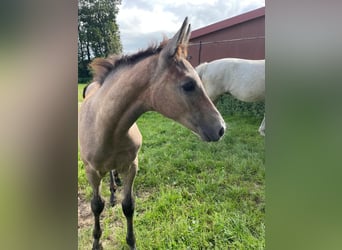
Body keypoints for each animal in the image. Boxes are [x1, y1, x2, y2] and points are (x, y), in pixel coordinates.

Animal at [79, 18, 226, 250]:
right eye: (188, 85)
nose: (221, 128)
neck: (106, 126)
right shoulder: (91, 171)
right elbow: (96, 205)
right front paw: (96, 242)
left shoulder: (132, 165)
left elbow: (129, 205)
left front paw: (131, 242)